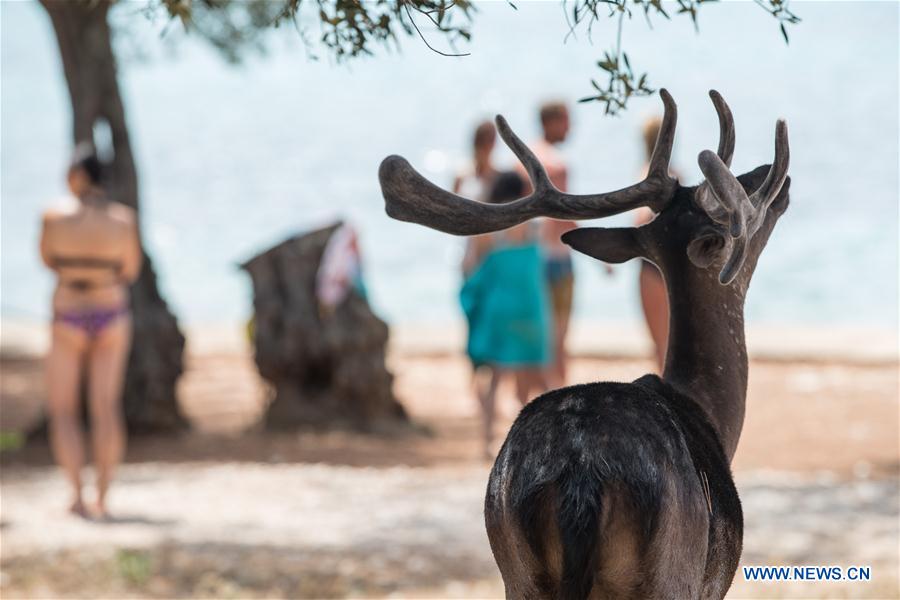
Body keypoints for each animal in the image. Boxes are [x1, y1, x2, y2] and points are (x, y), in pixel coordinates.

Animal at [376, 90, 792, 600]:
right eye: (746, 197)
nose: (773, 174)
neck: (711, 411)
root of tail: (580, 476)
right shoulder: (713, 582)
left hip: (517, 570)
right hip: (670, 570)